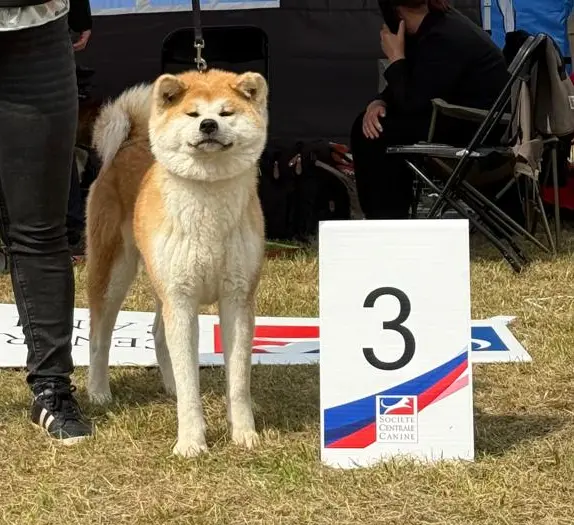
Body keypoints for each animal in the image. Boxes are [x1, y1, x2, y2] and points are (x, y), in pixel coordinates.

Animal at [86, 69, 268, 457]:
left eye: (226, 112)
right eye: (193, 114)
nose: (209, 125)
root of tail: (131, 142)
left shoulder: (236, 296)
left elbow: (237, 380)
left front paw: (244, 433)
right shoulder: (182, 299)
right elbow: (190, 383)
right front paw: (191, 442)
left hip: (162, 281)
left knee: (157, 333)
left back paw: (167, 385)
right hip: (114, 272)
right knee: (99, 336)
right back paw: (98, 391)